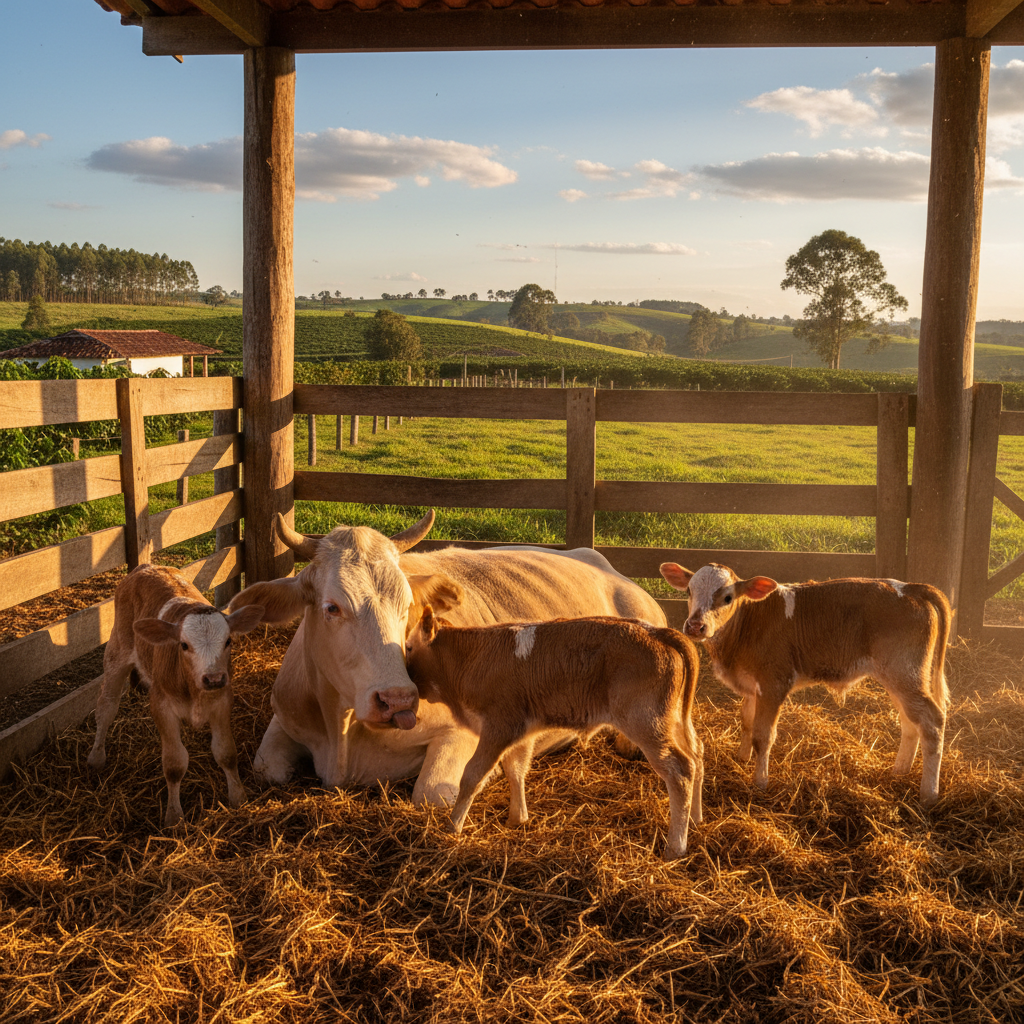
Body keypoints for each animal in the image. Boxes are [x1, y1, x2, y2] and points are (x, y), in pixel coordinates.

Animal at [87, 564, 265, 826]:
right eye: (184, 645)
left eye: (228, 641)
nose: (214, 678)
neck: (193, 690)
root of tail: (147, 567)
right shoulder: (162, 706)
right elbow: (174, 764)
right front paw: (174, 816)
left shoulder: (222, 700)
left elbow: (226, 753)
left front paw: (238, 797)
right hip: (117, 651)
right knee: (106, 708)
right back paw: (97, 757)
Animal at [227, 510, 667, 806]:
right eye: (332, 607)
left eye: (409, 606)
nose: (398, 699)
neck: (342, 733)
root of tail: (600, 562)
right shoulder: (284, 718)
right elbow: (265, 769)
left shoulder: (464, 734)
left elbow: (431, 794)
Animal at [404, 609, 704, 859]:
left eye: (408, 646)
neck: (471, 658)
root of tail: (654, 631)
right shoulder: (522, 731)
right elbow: (516, 769)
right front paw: (518, 818)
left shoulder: (498, 727)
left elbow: (472, 776)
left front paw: (452, 827)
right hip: (673, 720)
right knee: (697, 755)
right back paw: (695, 818)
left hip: (646, 723)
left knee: (680, 770)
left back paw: (675, 847)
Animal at [659, 562, 950, 806]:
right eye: (689, 591)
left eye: (728, 597)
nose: (695, 626)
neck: (749, 622)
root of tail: (909, 587)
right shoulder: (752, 687)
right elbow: (746, 722)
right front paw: (741, 759)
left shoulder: (774, 683)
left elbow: (763, 735)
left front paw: (760, 781)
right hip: (902, 679)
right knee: (909, 721)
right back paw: (899, 771)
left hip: (905, 673)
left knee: (932, 720)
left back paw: (929, 794)